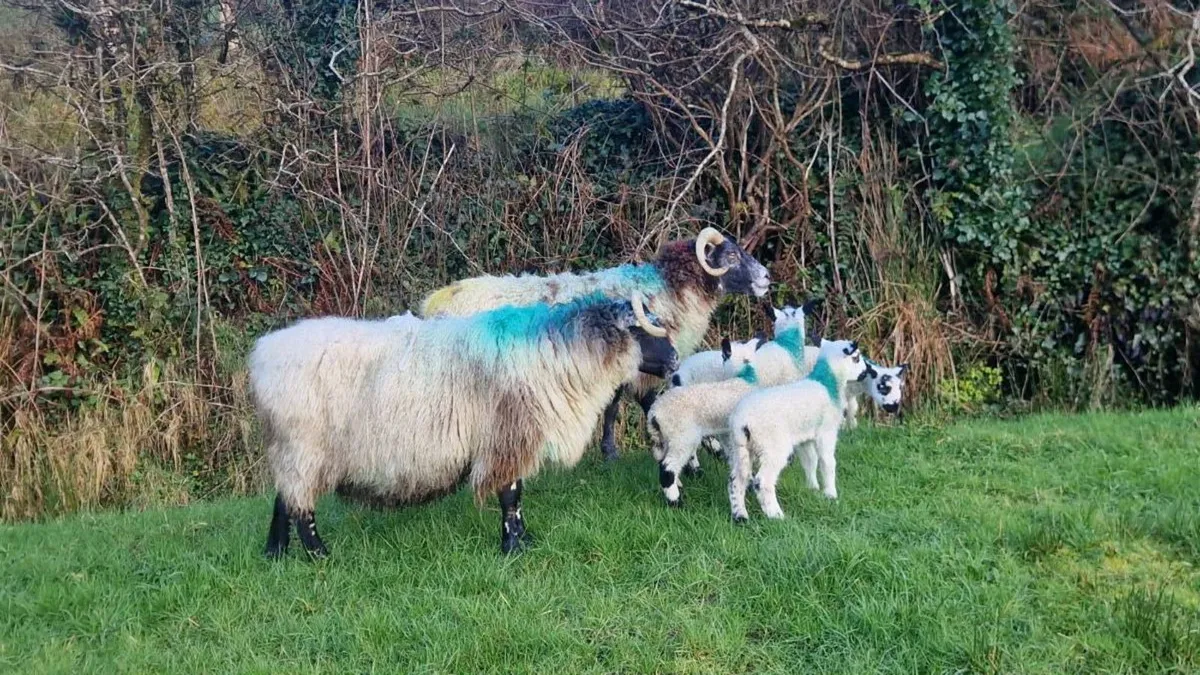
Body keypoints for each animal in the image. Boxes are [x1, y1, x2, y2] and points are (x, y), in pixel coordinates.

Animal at [250, 290, 677, 558]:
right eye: (643, 329)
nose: (675, 360)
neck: (558, 353)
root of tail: (261, 358)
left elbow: (517, 494)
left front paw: (525, 540)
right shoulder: (506, 436)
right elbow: (510, 495)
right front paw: (513, 549)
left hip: (290, 449)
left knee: (283, 498)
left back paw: (276, 553)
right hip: (303, 447)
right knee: (301, 506)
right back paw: (319, 555)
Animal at [419, 228, 771, 461]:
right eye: (732, 255)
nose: (767, 278)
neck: (669, 291)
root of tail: (435, 302)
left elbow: (617, 403)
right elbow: (638, 401)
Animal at [725, 339, 874, 522]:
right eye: (856, 357)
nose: (867, 371)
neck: (828, 383)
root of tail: (741, 422)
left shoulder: (806, 436)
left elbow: (810, 461)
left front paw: (813, 488)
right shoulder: (826, 431)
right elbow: (827, 462)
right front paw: (831, 494)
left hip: (740, 448)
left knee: (736, 480)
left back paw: (740, 515)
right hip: (773, 446)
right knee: (762, 481)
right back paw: (776, 515)